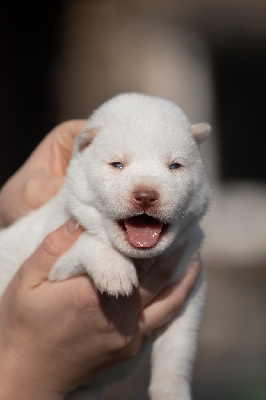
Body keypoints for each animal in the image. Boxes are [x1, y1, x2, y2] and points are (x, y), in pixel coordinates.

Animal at [0, 94, 212, 400]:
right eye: (117, 165)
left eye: (175, 166)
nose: (145, 195)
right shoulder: (53, 257)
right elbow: (87, 241)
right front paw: (116, 273)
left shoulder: (188, 288)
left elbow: (176, 352)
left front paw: (172, 392)